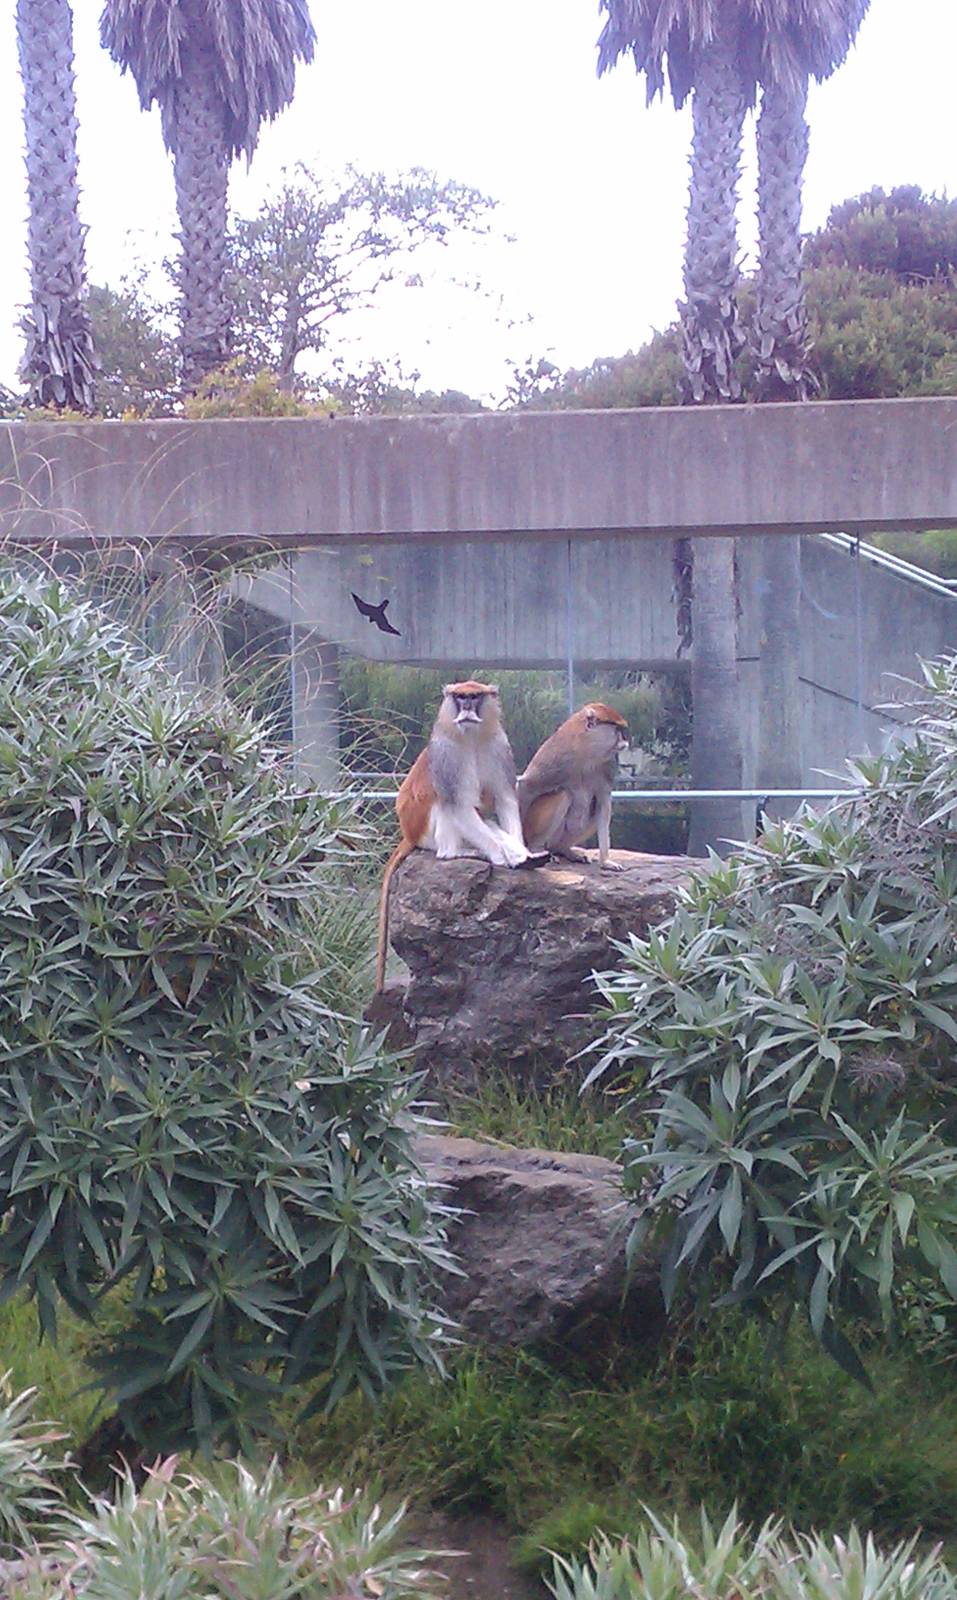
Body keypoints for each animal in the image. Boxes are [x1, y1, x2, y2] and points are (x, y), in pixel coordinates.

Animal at [374, 680, 548, 991]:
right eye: (459, 697)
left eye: (474, 697)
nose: (466, 707)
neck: (472, 738)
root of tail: (408, 833)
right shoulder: (448, 758)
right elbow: (459, 805)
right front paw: (502, 858)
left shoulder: (498, 746)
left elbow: (504, 800)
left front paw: (522, 854)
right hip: (425, 831)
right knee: (443, 802)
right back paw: (456, 852)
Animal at [518, 703, 629, 872]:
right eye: (617, 730)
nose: (625, 741)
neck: (588, 750)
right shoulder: (557, 758)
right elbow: (526, 786)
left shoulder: (607, 766)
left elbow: (603, 806)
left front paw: (606, 861)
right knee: (563, 795)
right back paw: (537, 848)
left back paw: (565, 850)